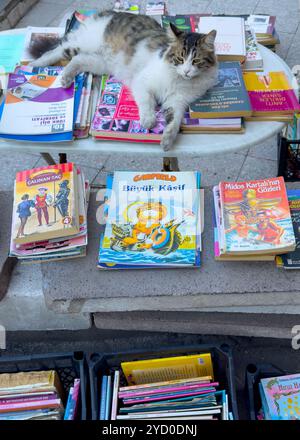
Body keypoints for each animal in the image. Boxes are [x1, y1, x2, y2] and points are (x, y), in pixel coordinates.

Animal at [30, 10, 218, 151]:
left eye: (196, 61)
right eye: (180, 58)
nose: (186, 71)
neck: (180, 80)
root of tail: (110, 12)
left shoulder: (177, 102)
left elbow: (174, 122)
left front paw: (166, 140)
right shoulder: (142, 83)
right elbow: (146, 103)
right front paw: (148, 121)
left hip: (101, 63)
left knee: (77, 60)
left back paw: (66, 78)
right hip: (82, 45)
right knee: (57, 51)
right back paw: (36, 65)